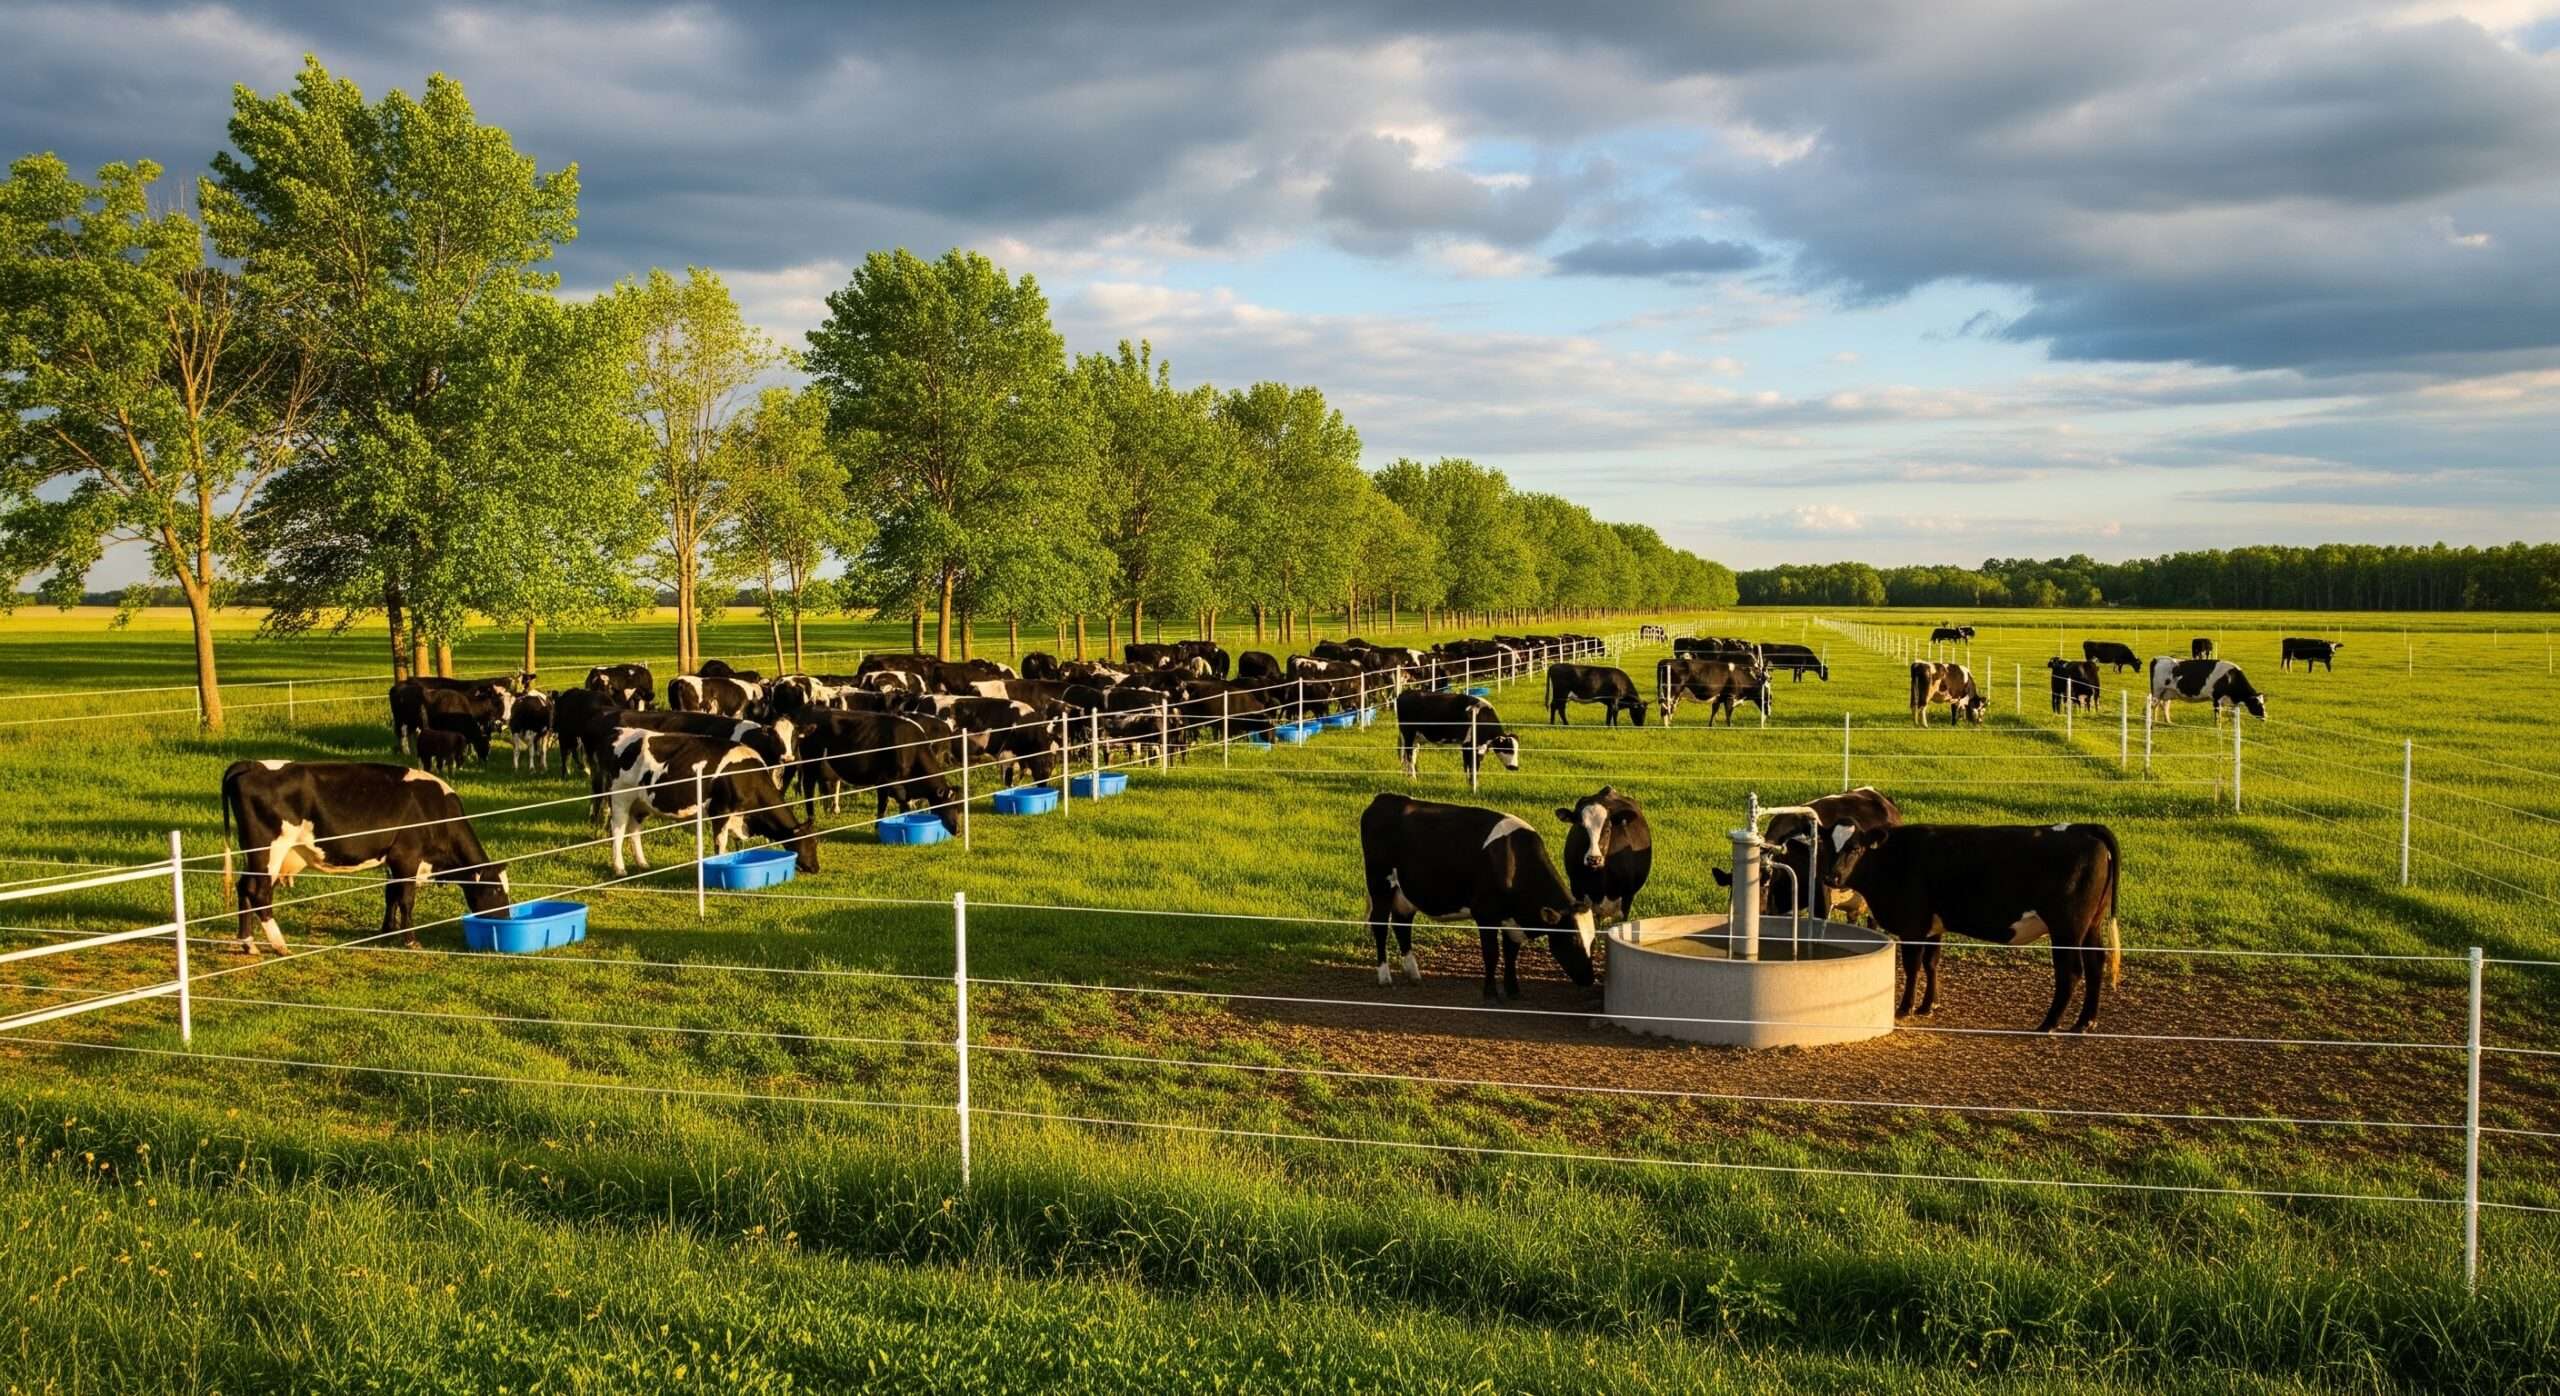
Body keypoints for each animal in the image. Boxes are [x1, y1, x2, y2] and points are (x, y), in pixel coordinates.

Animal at [219, 760, 512, 955]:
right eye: (496, 890)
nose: (507, 920)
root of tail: (251, 765)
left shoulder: (393, 859)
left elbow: (390, 893)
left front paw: (387, 930)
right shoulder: (408, 855)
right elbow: (406, 899)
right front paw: (410, 939)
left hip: (254, 854)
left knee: (244, 888)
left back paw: (248, 943)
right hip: (270, 849)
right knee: (258, 892)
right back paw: (279, 945)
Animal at [603, 730, 818, 878]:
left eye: (815, 842)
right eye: (806, 843)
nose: (816, 867)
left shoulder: (737, 817)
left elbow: (737, 846)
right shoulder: (720, 811)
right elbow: (720, 843)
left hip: (641, 802)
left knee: (634, 829)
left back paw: (642, 864)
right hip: (621, 797)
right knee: (618, 830)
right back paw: (620, 868)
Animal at [1358, 794, 1597, 999]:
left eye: (1593, 941)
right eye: (1572, 940)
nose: (1589, 979)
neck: (1512, 858)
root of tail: (1385, 799)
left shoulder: (1511, 919)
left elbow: (1511, 953)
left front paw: (1513, 990)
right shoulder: (1485, 914)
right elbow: (1492, 954)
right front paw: (1490, 992)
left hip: (1404, 894)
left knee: (1402, 925)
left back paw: (1413, 974)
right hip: (1380, 884)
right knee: (1380, 926)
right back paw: (1384, 977)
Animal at [1392, 689, 1520, 782]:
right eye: (1508, 749)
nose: (1515, 767)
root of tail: (1404, 693)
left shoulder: (1478, 746)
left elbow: (1473, 765)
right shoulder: (1468, 744)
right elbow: (1470, 765)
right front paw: (1471, 783)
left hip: (1416, 739)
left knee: (1410, 756)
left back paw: (1409, 776)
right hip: (1408, 734)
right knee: (1408, 756)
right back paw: (1413, 779)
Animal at [1820, 822, 2121, 1033]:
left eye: (1854, 848)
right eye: (1827, 846)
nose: (1831, 877)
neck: (1894, 857)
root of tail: (2083, 828)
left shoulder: (1912, 926)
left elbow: (1913, 965)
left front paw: (1905, 1008)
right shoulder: (1934, 926)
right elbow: (1932, 963)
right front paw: (1928, 1005)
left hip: (2067, 928)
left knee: (2071, 972)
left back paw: (2049, 1023)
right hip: (2090, 926)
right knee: (2096, 964)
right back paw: (2084, 1022)